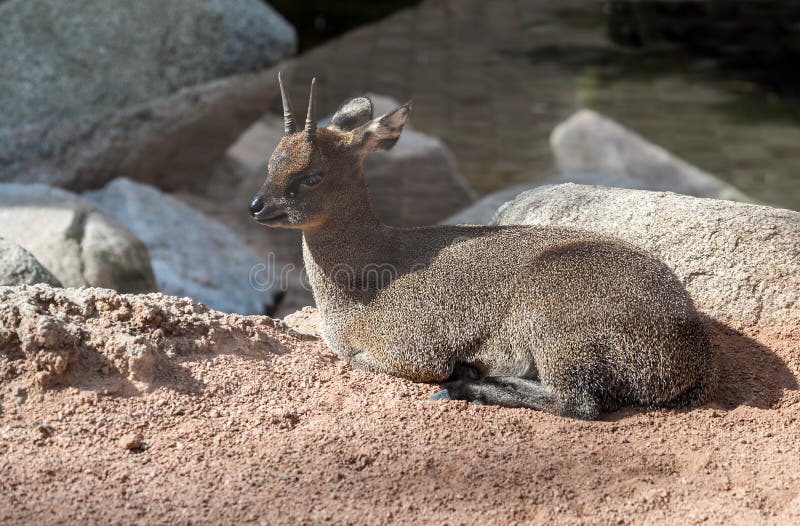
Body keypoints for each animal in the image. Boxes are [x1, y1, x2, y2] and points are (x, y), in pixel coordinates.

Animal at [248, 74, 714, 419]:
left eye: (313, 175)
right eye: (271, 162)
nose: (257, 206)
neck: (359, 285)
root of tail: (690, 355)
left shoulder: (415, 349)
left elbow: (367, 360)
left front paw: (464, 369)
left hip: (555, 320)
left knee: (579, 401)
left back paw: (469, 386)